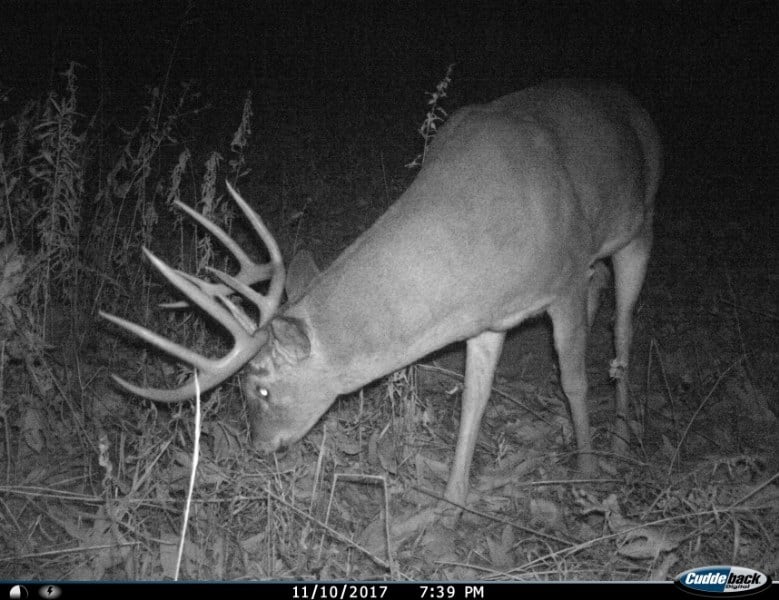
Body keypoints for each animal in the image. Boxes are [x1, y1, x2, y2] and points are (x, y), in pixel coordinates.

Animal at [101, 79, 662, 510]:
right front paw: (450, 506)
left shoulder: (562, 280)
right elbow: (473, 400)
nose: (259, 448)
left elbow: (573, 380)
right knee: (601, 290)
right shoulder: (487, 320)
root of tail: (633, 105)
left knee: (623, 326)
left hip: (639, 225)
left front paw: (587, 471)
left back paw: (620, 433)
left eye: (258, 390)